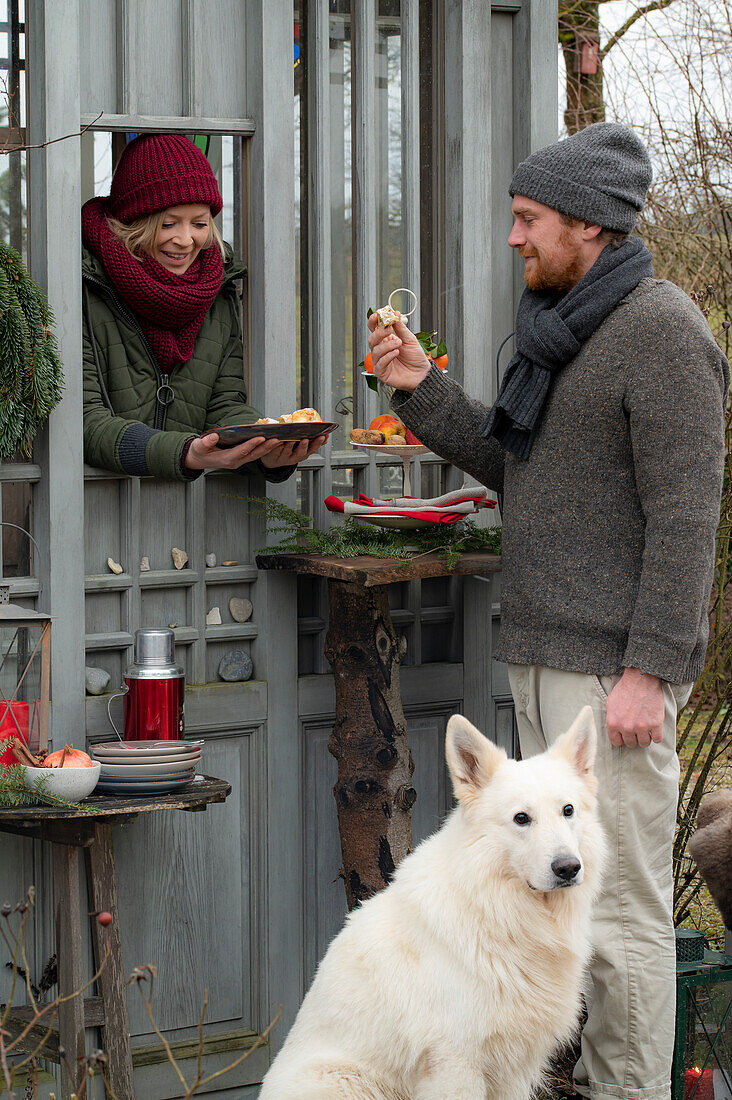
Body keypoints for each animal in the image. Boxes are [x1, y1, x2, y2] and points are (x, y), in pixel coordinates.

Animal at [259, 708, 603, 1095]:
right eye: (521, 818)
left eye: (568, 810)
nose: (568, 868)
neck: (495, 909)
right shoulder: (456, 1062)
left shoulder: (514, 1069)